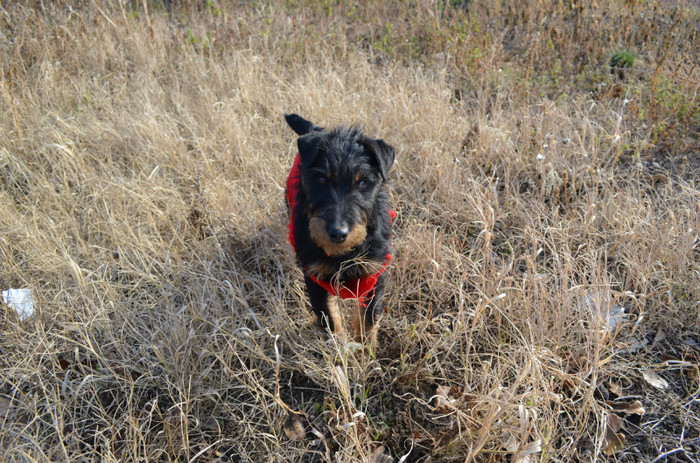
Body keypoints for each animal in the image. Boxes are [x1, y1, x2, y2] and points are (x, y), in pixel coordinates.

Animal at [284, 113, 394, 344]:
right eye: (321, 179)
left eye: (362, 183)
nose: (338, 233)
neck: (343, 253)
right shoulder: (316, 277)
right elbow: (330, 318)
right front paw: (338, 346)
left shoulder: (373, 272)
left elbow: (369, 318)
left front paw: (366, 349)